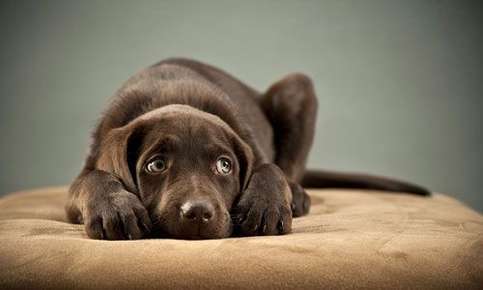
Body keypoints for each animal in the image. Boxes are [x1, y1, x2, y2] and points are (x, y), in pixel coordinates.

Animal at [65, 57, 432, 240]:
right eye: (156, 165)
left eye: (224, 165)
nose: (198, 213)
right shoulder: (83, 174)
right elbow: (92, 179)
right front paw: (115, 208)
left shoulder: (251, 145)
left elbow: (269, 168)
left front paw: (265, 206)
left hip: (297, 88)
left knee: (290, 168)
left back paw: (297, 195)